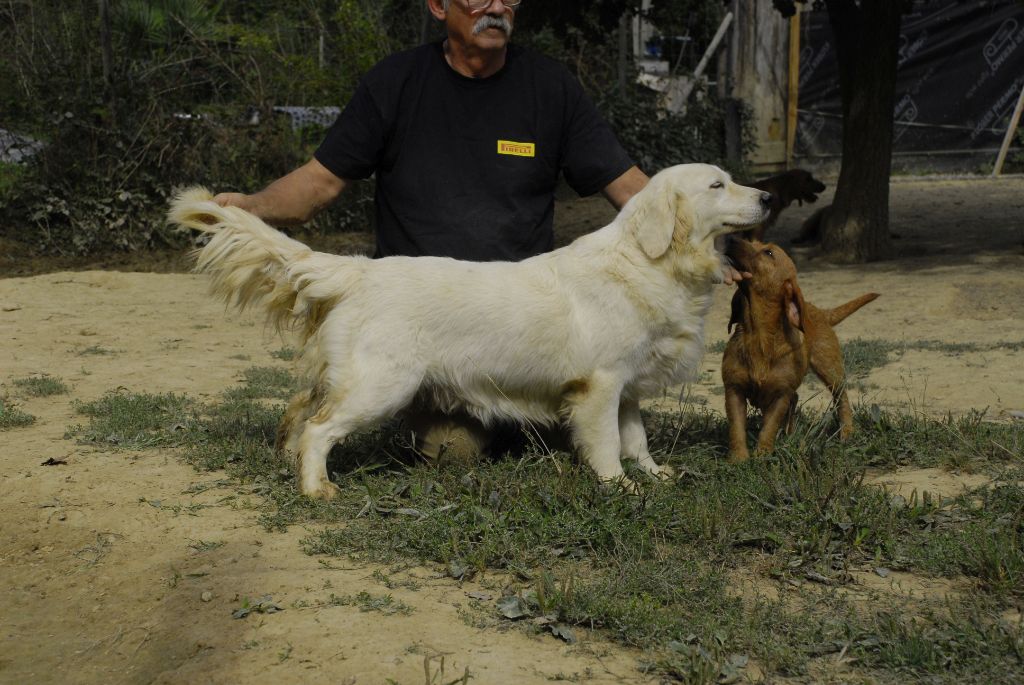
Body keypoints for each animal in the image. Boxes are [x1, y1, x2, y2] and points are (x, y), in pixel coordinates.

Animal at [169, 163, 770, 497]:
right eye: (718, 184)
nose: (767, 197)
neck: (652, 262)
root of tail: (360, 268)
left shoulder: (627, 387)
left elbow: (635, 439)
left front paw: (653, 475)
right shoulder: (598, 385)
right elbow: (604, 445)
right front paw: (616, 486)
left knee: (301, 417)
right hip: (380, 387)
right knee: (318, 430)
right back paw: (317, 488)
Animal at [720, 237, 880, 462]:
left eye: (768, 253)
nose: (730, 238)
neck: (758, 334)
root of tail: (821, 312)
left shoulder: (781, 394)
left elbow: (768, 427)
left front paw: (763, 455)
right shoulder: (734, 389)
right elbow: (736, 428)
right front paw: (739, 458)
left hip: (830, 369)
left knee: (842, 399)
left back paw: (847, 432)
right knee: (797, 400)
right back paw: (789, 434)